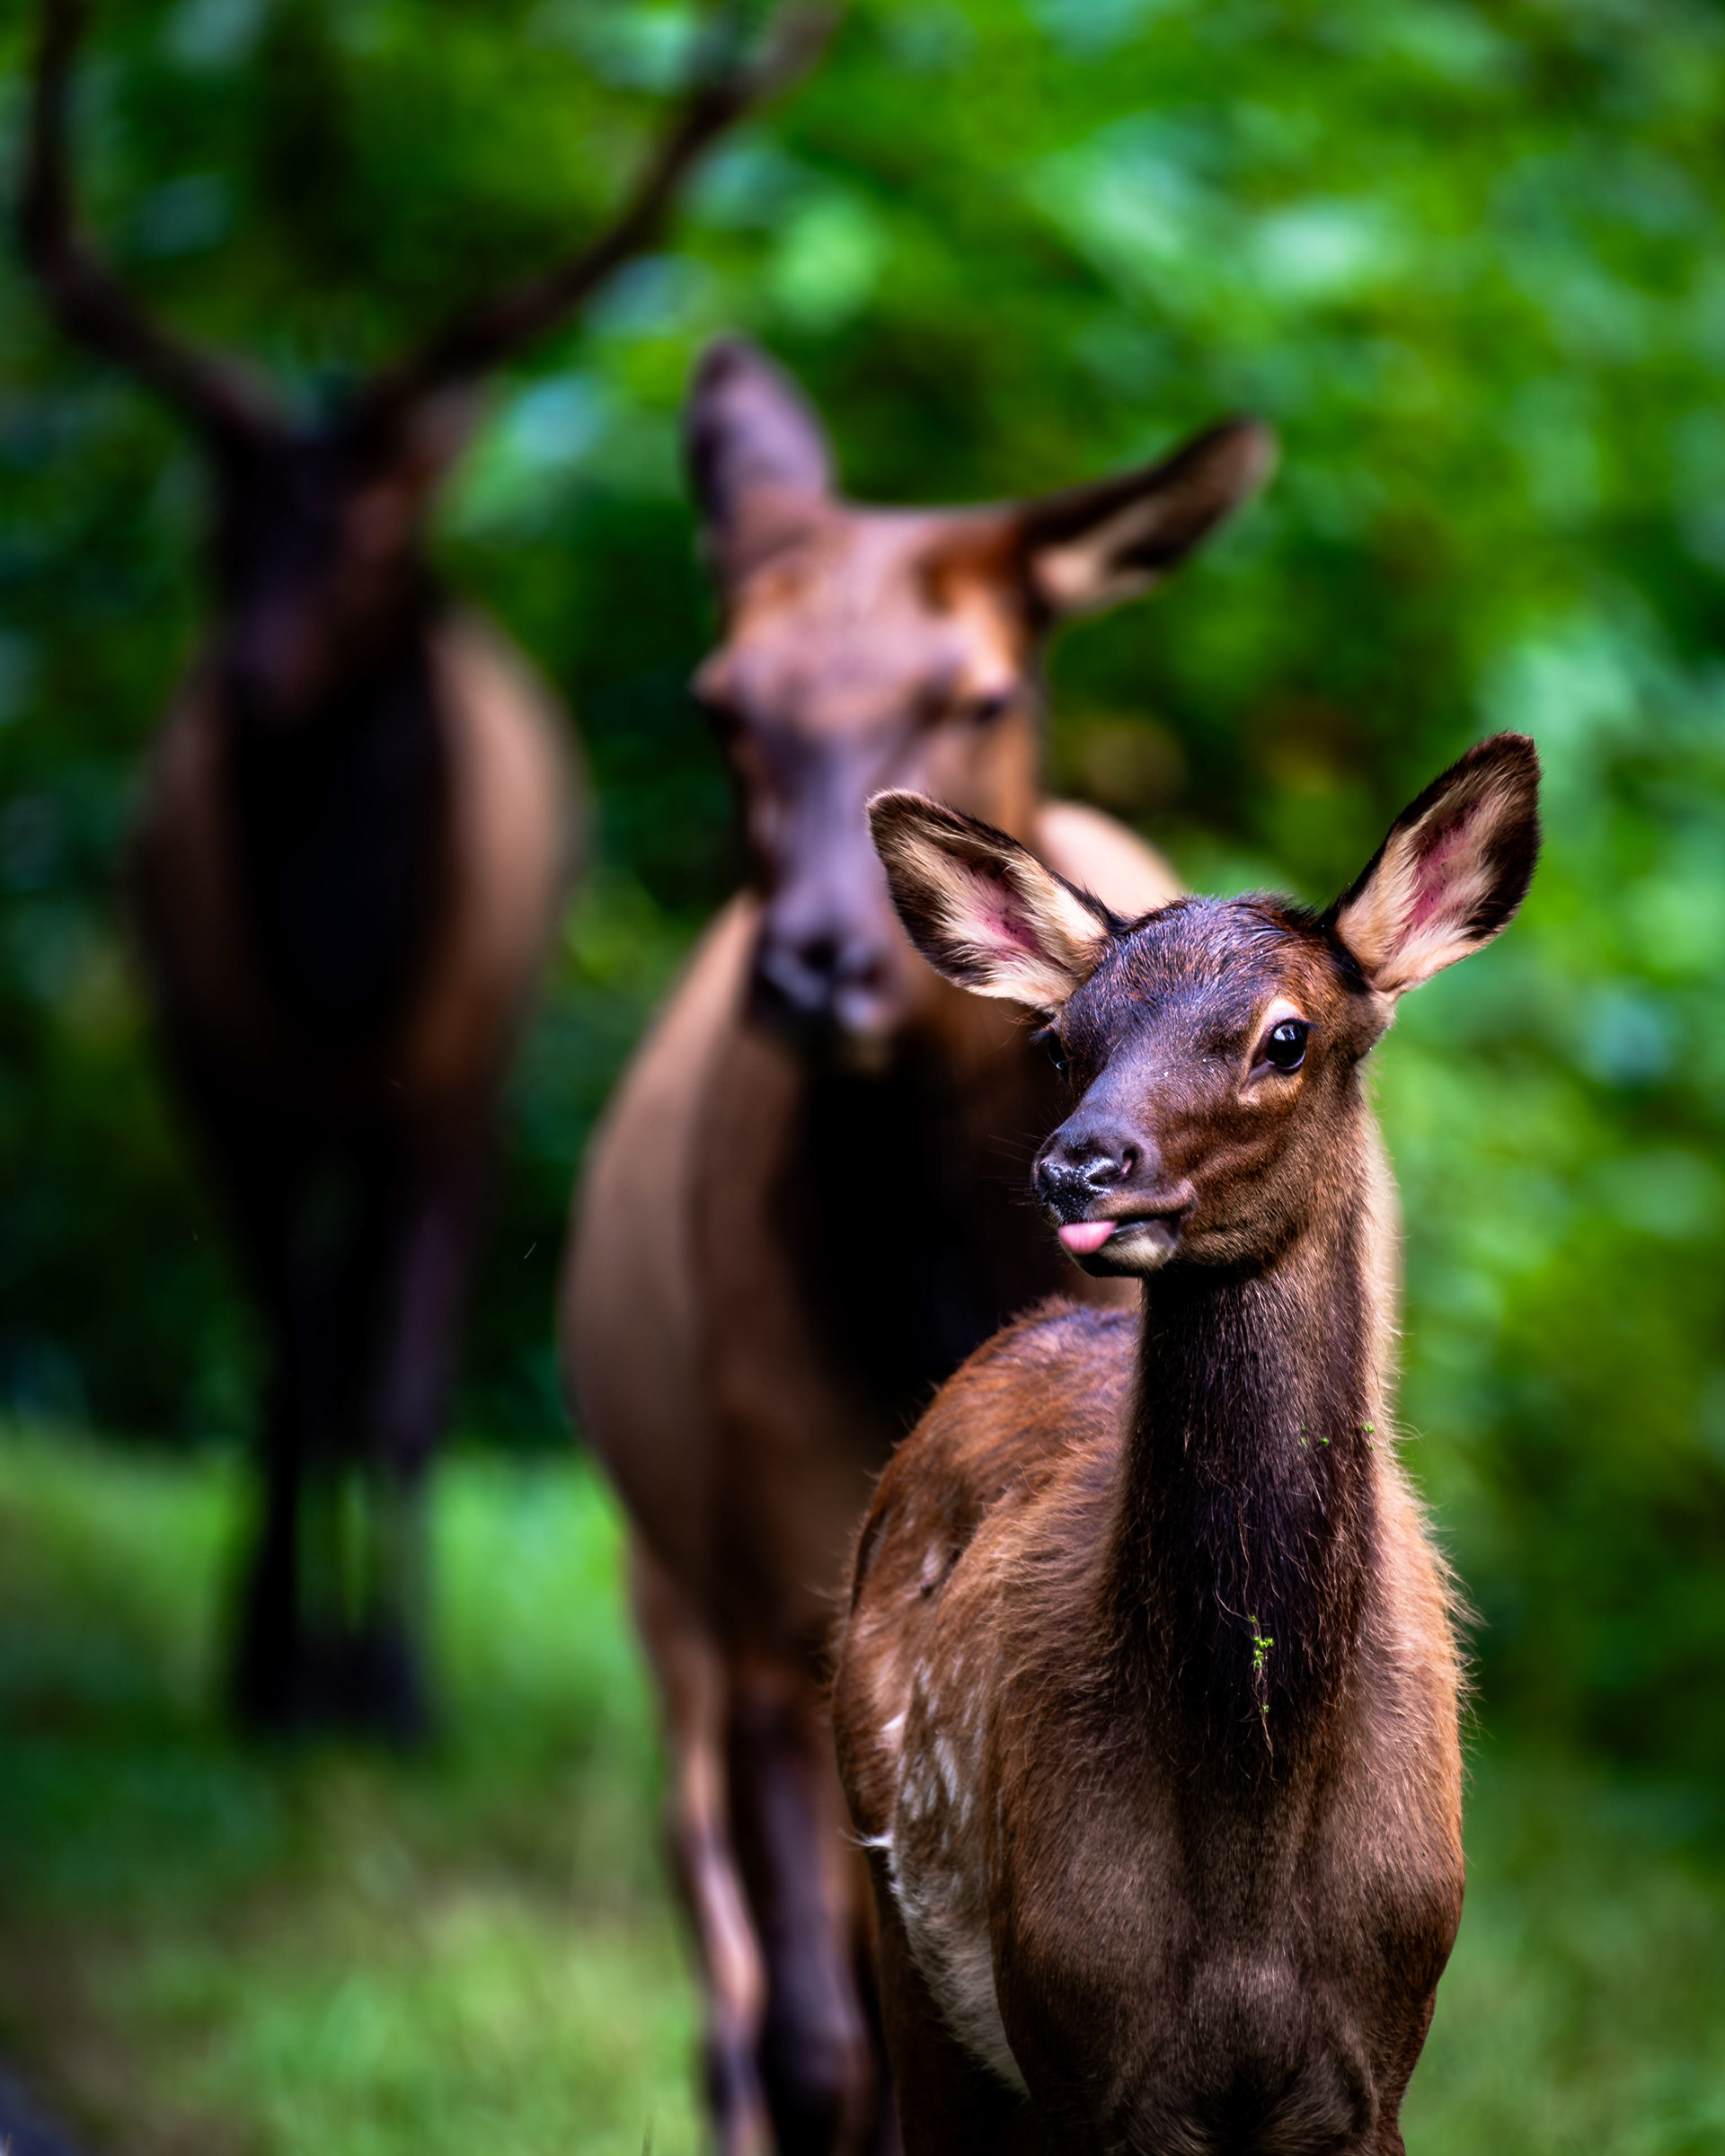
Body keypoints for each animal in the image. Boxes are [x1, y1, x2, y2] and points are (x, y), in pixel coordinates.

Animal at [19, 0, 822, 1736]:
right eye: (219, 533)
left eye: (379, 537)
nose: (251, 686)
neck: (337, 963)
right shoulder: (215, 1058)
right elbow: (286, 1361)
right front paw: (270, 1665)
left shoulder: (459, 1068)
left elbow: (398, 1384)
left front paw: (391, 1685)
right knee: (305, 1329)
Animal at [562, 337, 1275, 2153]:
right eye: (723, 700)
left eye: (984, 691)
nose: (819, 960)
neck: (923, 1297)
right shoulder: (764, 1598)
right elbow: (819, 2048)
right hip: (664, 1577)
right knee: (724, 1964)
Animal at [830, 733, 1542, 2155]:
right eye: (1064, 1041)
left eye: (1287, 1034)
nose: (1081, 1165)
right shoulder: (1082, 2048)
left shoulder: (1377, 2065)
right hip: (909, 1945)